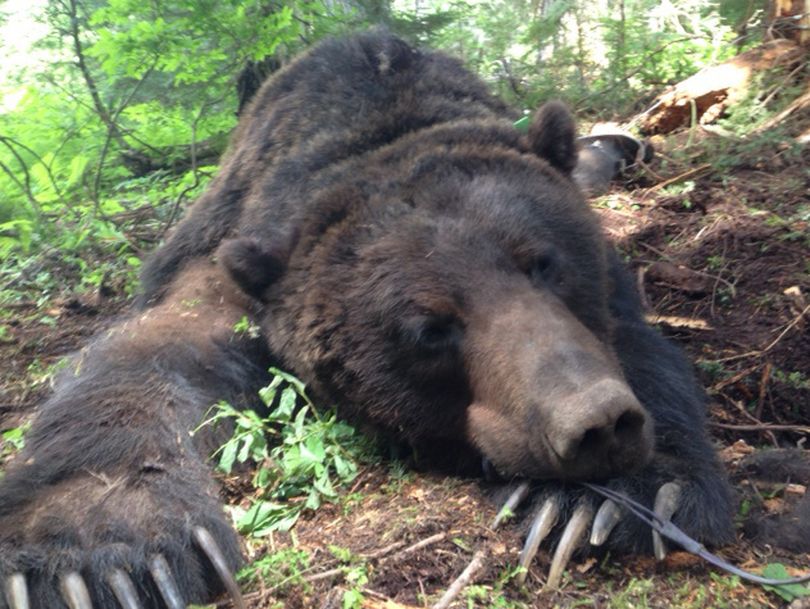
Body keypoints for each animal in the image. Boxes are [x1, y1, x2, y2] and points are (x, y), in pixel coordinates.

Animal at [1, 30, 732, 604]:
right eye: (430, 329)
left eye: (544, 262)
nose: (597, 421)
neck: (375, 127)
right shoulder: (240, 252)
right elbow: (151, 353)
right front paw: (96, 558)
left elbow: (637, 347)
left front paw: (600, 503)